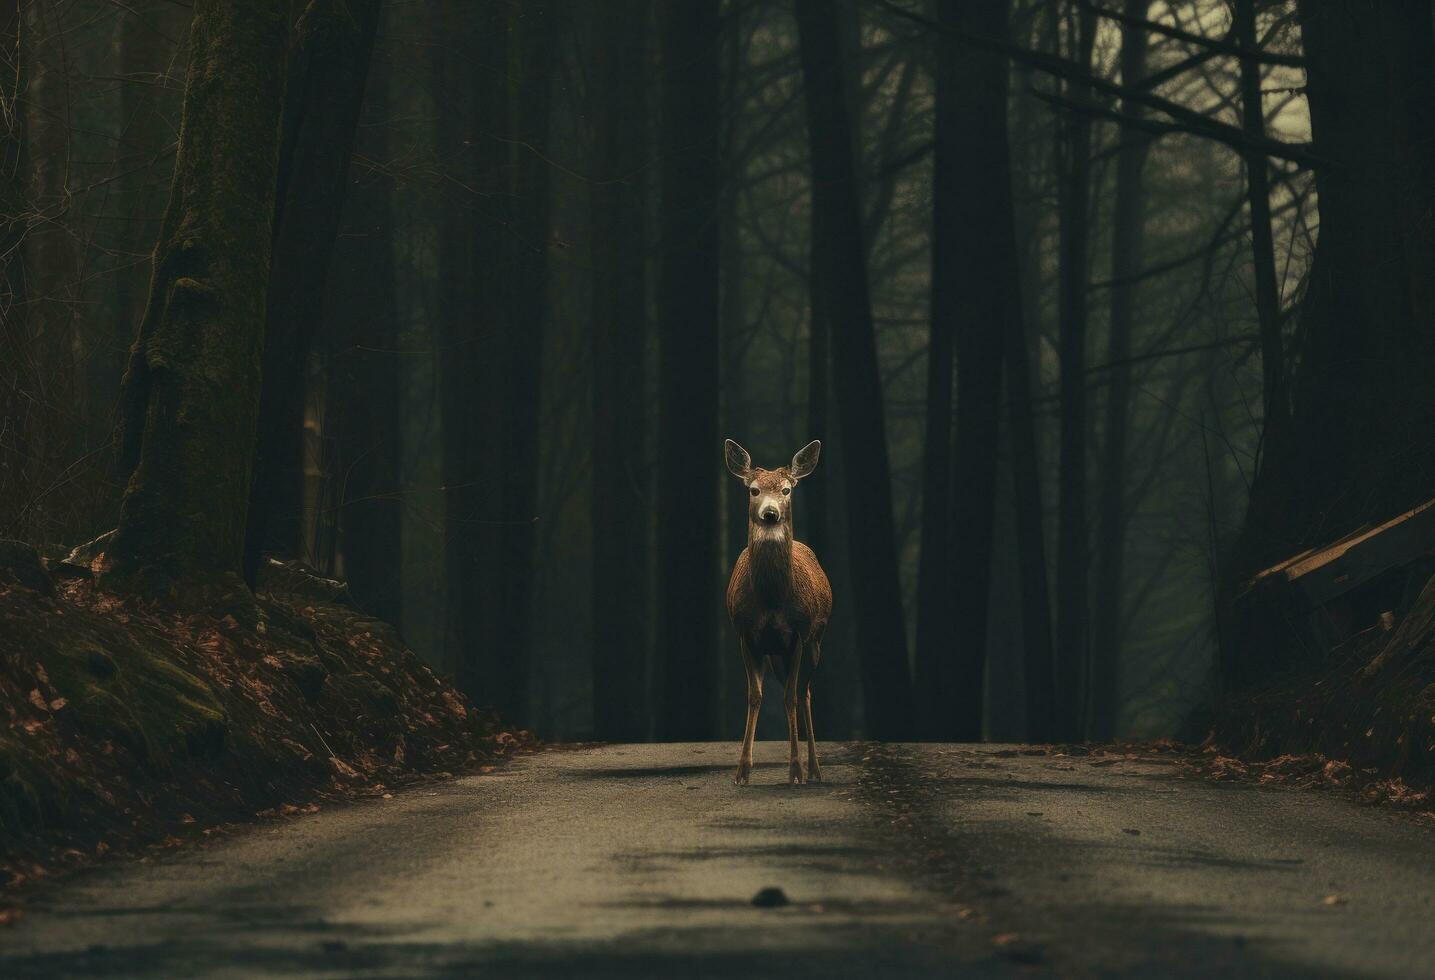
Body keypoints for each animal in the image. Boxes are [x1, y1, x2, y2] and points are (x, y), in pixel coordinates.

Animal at [728, 441, 832, 786]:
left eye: (786, 489)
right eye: (754, 490)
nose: (770, 513)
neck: (771, 601)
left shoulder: (797, 632)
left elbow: (790, 697)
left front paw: (796, 770)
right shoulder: (745, 633)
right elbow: (755, 696)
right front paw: (742, 771)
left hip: (815, 642)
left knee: (805, 692)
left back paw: (814, 770)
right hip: (775, 656)